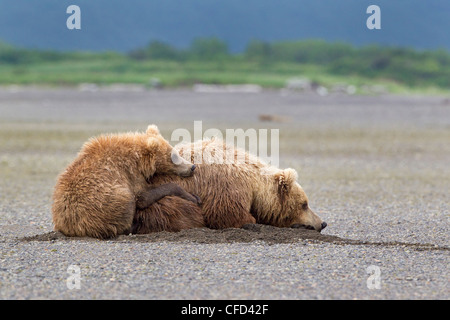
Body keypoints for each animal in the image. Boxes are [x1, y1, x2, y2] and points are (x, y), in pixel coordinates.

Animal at [51, 124, 198, 239]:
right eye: (174, 156)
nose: (192, 167)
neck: (138, 158)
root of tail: (67, 226)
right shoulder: (129, 173)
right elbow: (143, 196)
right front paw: (193, 197)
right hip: (104, 204)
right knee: (124, 207)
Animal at [132, 139, 326, 234]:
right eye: (304, 204)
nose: (322, 223)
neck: (254, 183)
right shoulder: (227, 185)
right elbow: (228, 215)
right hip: (156, 198)